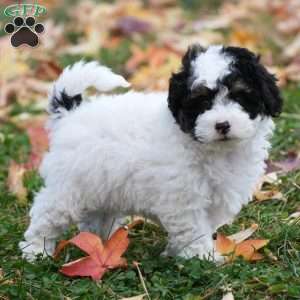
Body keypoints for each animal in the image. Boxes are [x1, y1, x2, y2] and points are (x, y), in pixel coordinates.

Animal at [20, 44, 282, 260]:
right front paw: (202, 258)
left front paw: (178, 253)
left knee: (95, 216)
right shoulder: (183, 199)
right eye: (201, 102)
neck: (215, 150)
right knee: (48, 213)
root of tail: (70, 114)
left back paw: (101, 242)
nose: (222, 125)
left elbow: (203, 226)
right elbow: (194, 230)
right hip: (71, 185)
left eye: (240, 96)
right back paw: (36, 250)